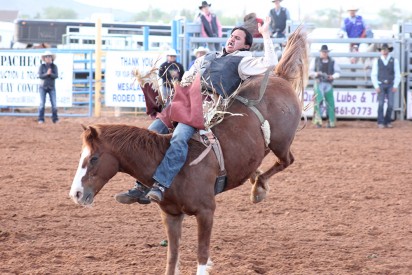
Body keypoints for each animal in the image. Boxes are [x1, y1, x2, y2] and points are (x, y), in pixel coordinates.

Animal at [69, 28, 308, 275]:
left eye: (94, 158)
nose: (75, 193)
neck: (170, 166)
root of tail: (278, 76)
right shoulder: (171, 215)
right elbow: (172, 257)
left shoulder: (206, 212)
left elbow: (201, 255)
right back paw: (254, 178)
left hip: (280, 142)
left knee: (286, 160)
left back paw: (259, 188)